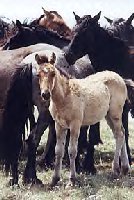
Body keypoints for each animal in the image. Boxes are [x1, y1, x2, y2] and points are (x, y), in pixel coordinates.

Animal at [37, 52, 131, 188]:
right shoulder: (59, 125)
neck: (65, 97)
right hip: (108, 116)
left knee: (119, 135)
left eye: (53, 73)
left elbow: (72, 151)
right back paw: (125, 168)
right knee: (121, 133)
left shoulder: (75, 125)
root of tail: (120, 78)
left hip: (115, 113)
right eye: (38, 75)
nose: (45, 94)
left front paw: (72, 180)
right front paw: (55, 180)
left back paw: (115, 170)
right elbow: (58, 151)